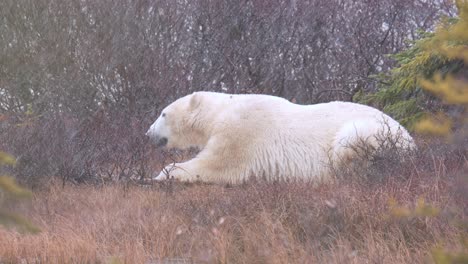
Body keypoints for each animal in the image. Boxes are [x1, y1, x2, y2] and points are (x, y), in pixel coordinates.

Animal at [145, 91, 414, 184]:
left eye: (163, 113)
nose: (148, 133)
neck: (221, 111)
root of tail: (411, 144)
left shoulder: (240, 131)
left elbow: (216, 164)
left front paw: (160, 174)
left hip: (372, 132)